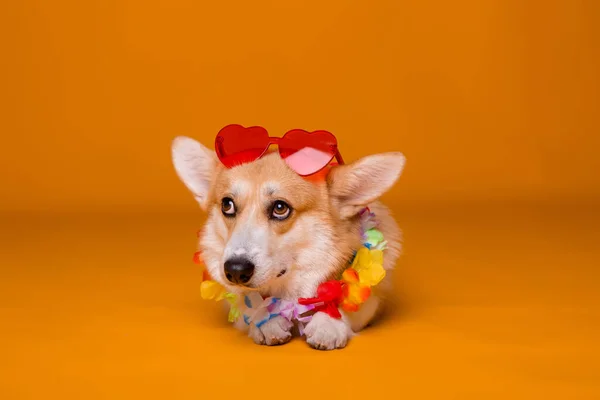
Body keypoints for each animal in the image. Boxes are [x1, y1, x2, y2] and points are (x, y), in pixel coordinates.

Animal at [171, 132, 406, 350]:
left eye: (280, 208)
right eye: (227, 205)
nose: (235, 271)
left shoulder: (374, 296)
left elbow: (349, 301)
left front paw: (329, 322)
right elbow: (246, 302)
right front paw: (266, 320)